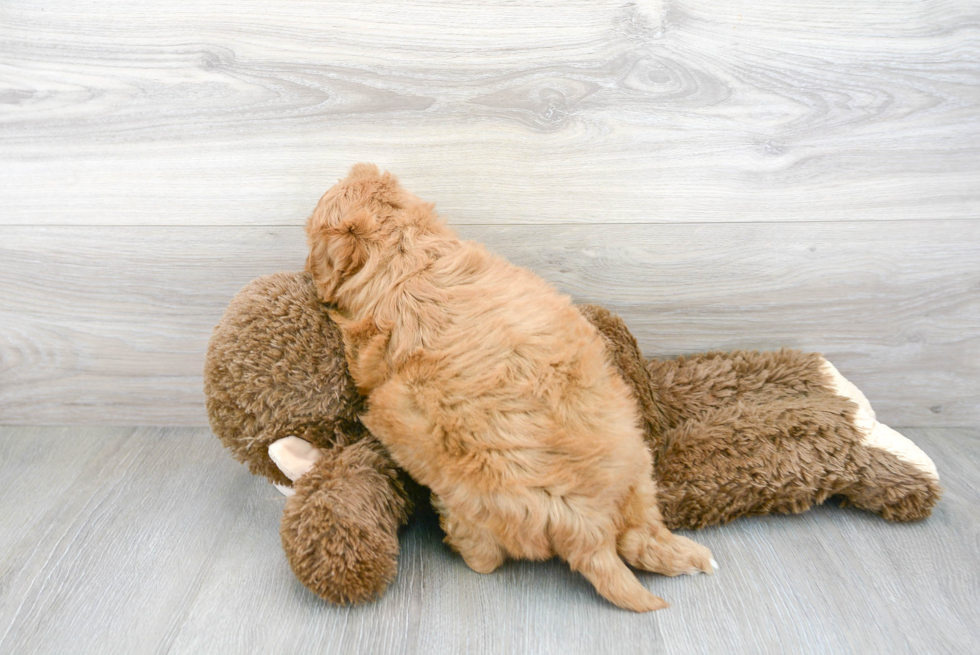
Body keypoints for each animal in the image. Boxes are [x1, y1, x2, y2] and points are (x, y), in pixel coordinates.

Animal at [306, 165, 712, 616]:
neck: (407, 254)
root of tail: (590, 529)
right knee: (645, 536)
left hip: (464, 496)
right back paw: (693, 557)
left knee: (485, 557)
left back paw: (456, 544)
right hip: (637, 469)